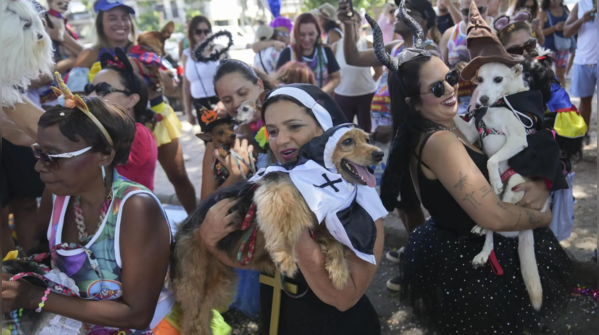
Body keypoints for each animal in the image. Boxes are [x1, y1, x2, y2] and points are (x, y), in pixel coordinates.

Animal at [171, 126, 384, 335]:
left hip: (218, 280)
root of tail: (182, 227)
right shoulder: (278, 193)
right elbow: (283, 225)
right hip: (193, 279)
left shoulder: (318, 222)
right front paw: (285, 257)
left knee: (201, 314)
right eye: (348, 141)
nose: (380, 154)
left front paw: (339, 269)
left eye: (368, 140)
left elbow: (334, 242)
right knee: (191, 316)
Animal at [454, 61, 548, 312]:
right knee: (490, 228)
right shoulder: (471, 131)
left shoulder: (517, 139)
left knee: (501, 223)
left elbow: (491, 160)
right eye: (479, 79)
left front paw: (496, 177)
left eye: (498, 79)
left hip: (514, 186)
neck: (497, 106)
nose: (482, 100)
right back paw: (482, 246)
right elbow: (456, 119)